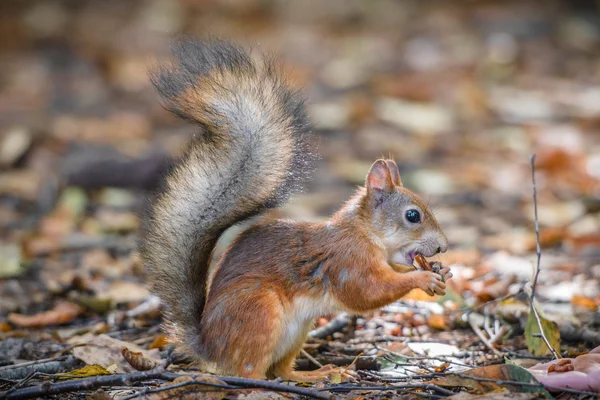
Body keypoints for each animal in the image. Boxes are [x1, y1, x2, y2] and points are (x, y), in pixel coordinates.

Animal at [142, 39, 450, 382]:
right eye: (413, 216)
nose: (443, 247)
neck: (364, 232)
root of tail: (209, 347)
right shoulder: (347, 261)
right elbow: (368, 292)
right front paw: (422, 278)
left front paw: (441, 272)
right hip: (258, 311)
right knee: (247, 373)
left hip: (298, 330)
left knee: (280, 369)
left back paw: (314, 375)